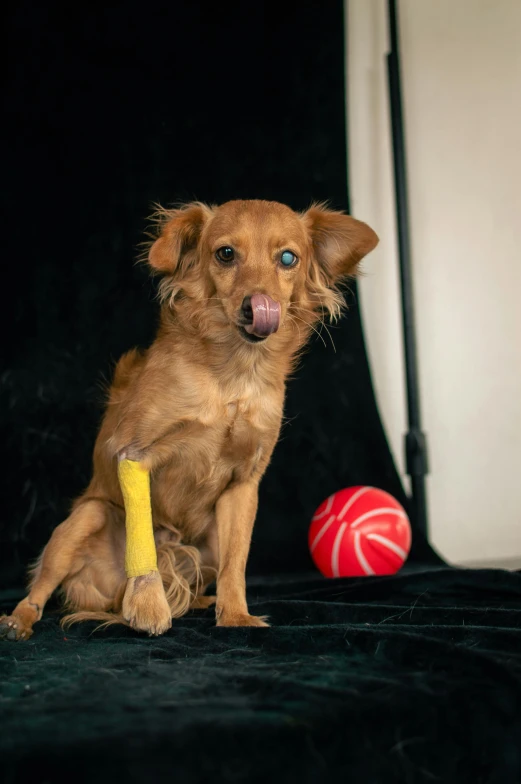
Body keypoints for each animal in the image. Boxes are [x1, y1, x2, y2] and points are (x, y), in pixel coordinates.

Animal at [0, 199, 376, 640]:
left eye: (288, 259)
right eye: (225, 254)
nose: (257, 304)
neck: (232, 376)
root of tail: (107, 599)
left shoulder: (243, 485)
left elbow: (236, 562)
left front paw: (235, 615)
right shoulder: (135, 455)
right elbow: (142, 541)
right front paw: (148, 605)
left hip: (206, 543)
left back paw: (200, 601)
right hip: (86, 518)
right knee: (42, 588)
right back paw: (21, 620)